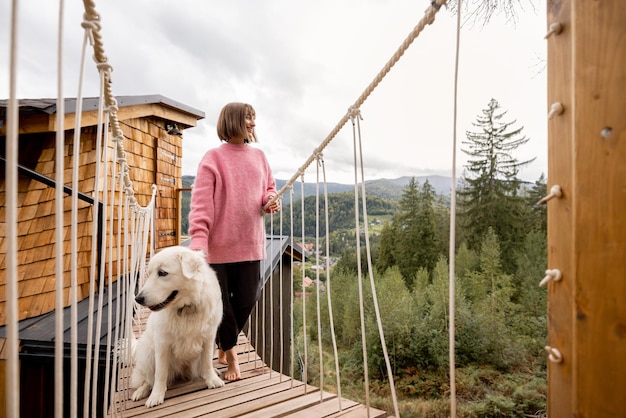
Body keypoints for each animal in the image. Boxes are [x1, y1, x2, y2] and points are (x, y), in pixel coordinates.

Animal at [128, 247, 223, 406]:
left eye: (162, 273)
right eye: (150, 273)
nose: (138, 299)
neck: (187, 308)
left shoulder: (209, 338)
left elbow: (207, 362)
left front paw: (212, 379)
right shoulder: (162, 344)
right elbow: (160, 374)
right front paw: (156, 396)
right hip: (147, 354)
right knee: (148, 380)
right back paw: (141, 392)